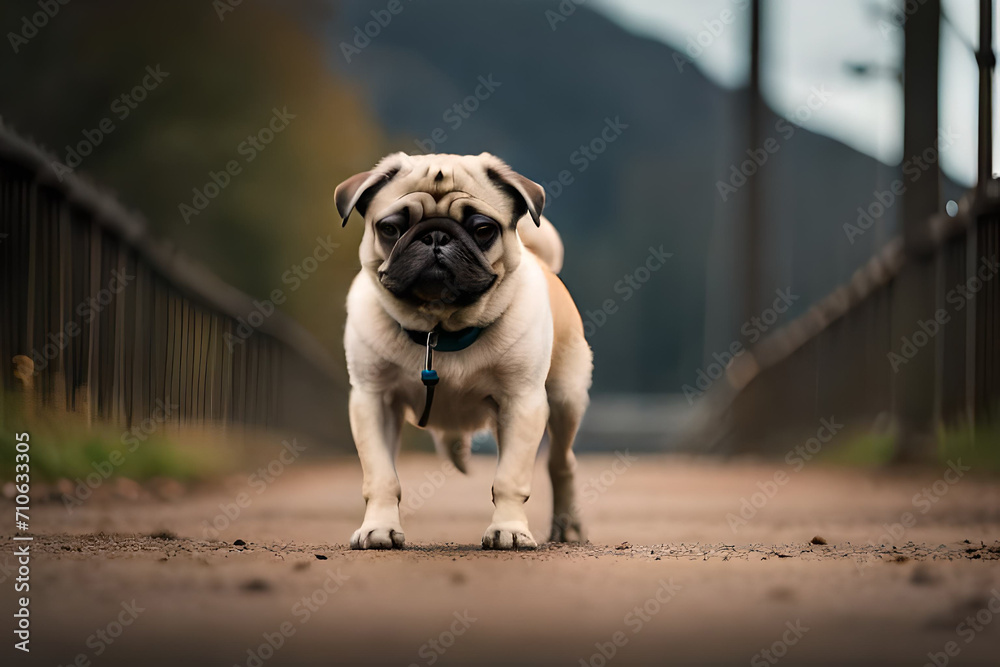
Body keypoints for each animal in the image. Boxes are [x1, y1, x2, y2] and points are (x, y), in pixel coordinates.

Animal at [340, 154, 592, 552]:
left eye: (483, 229)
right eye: (391, 228)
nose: (435, 235)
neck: (440, 330)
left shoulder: (522, 403)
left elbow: (510, 478)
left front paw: (509, 530)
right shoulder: (373, 400)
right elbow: (381, 476)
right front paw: (378, 528)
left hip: (566, 399)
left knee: (560, 462)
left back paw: (567, 526)